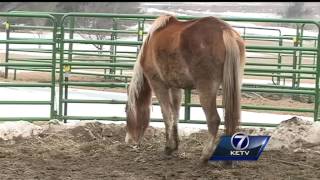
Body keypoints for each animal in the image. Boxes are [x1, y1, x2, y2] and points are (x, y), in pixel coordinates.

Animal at [124, 14, 245, 164]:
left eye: (126, 110)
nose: (128, 140)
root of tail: (225, 30)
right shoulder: (176, 87)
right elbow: (176, 114)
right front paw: (175, 145)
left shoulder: (158, 84)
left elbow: (167, 115)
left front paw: (168, 147)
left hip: (206, 89)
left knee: (213, 120)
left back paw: (205, 155)